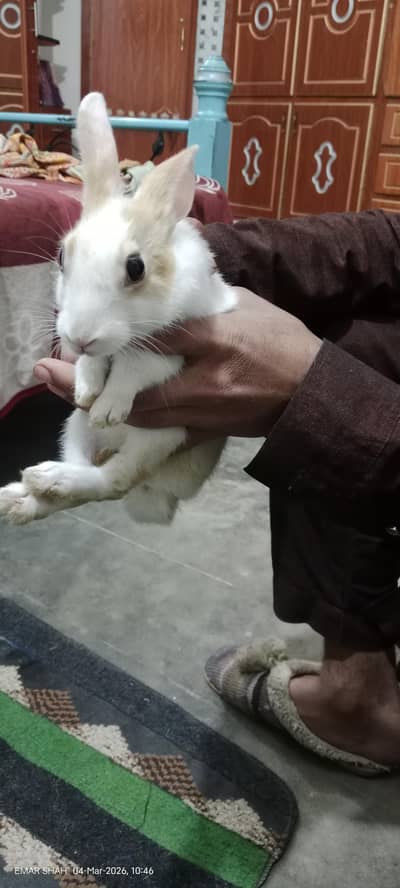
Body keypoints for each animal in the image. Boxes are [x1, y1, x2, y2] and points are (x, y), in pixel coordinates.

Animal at [0, 92, 237, 526]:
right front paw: (87, 388)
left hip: (160, 438)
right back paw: (27, 492)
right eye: (62, 256)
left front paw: (108, 408)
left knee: (111, 481)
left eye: (136, 268)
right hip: (72, 426)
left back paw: (50, 478)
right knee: (80, 472)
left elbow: (136, 369)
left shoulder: (174, 348)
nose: (80, 336)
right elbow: (93, 364)